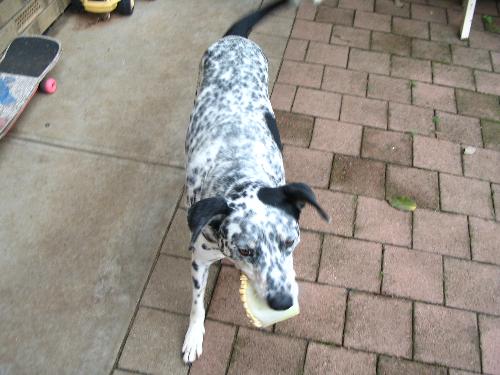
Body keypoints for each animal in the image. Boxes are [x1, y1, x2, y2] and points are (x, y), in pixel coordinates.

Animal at [182, 0, 326, 364]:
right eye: (246, 249)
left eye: (289, 242)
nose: (282, 302)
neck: (238, 169)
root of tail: (236, 38)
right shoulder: (199, 259)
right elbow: (196, 304)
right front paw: (193, 336)